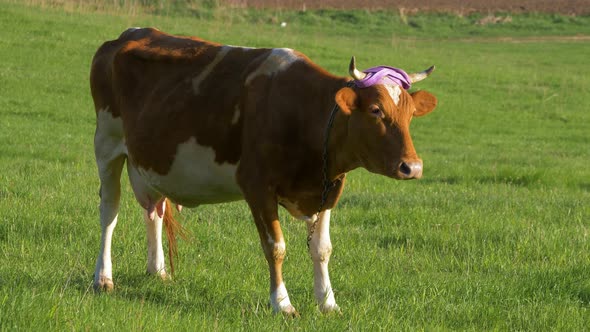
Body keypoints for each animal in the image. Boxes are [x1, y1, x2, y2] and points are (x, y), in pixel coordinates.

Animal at [89, 27, 440, 316]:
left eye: (410, 113)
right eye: (376, 110)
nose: (413, 167)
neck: (304, 111)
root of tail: (126, 36)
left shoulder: (328, 189)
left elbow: (322, 249)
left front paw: (328, 303)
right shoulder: (257, 187)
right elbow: (276, 247)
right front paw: (282, 304)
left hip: (153, 161)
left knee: (155, 211)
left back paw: (158, 271)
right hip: (106, 146)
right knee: (109, 212)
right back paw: (102, 278)